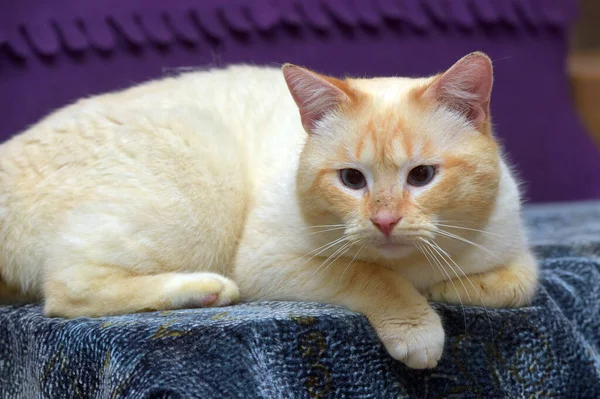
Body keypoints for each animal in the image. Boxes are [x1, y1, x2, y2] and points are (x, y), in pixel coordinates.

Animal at [0, 51, 540, 370]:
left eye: (422, 176)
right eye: (352, 180)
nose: (384, 222)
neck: (414, 264)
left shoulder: (515, 251)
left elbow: (515, 285)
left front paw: (449, 288)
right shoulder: (271, 264)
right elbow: (372, 277)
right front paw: (420, 326)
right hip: (203, 177)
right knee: (66, 291)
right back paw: (206, 290)